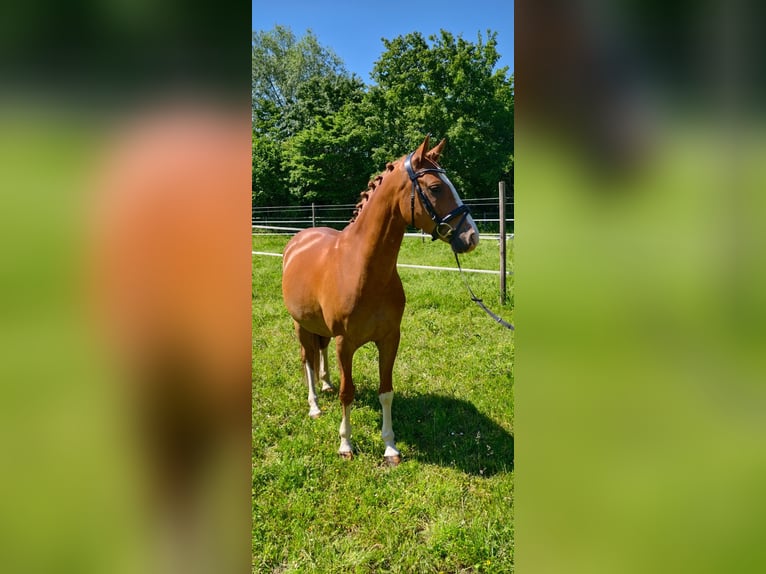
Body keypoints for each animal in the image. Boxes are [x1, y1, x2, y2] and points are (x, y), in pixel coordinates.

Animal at [281, 135, 479, 465]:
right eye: (435, 188)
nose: (471, 237)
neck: (362, 267)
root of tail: (299, 239)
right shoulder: (345, 343)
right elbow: (348, 393)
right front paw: (346, 444)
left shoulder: (389, 338)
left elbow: (386, 391)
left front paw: (390, 447)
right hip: (300, 325)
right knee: (306, 358)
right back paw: (315, 405)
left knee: (319, 353)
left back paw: (326, 383)